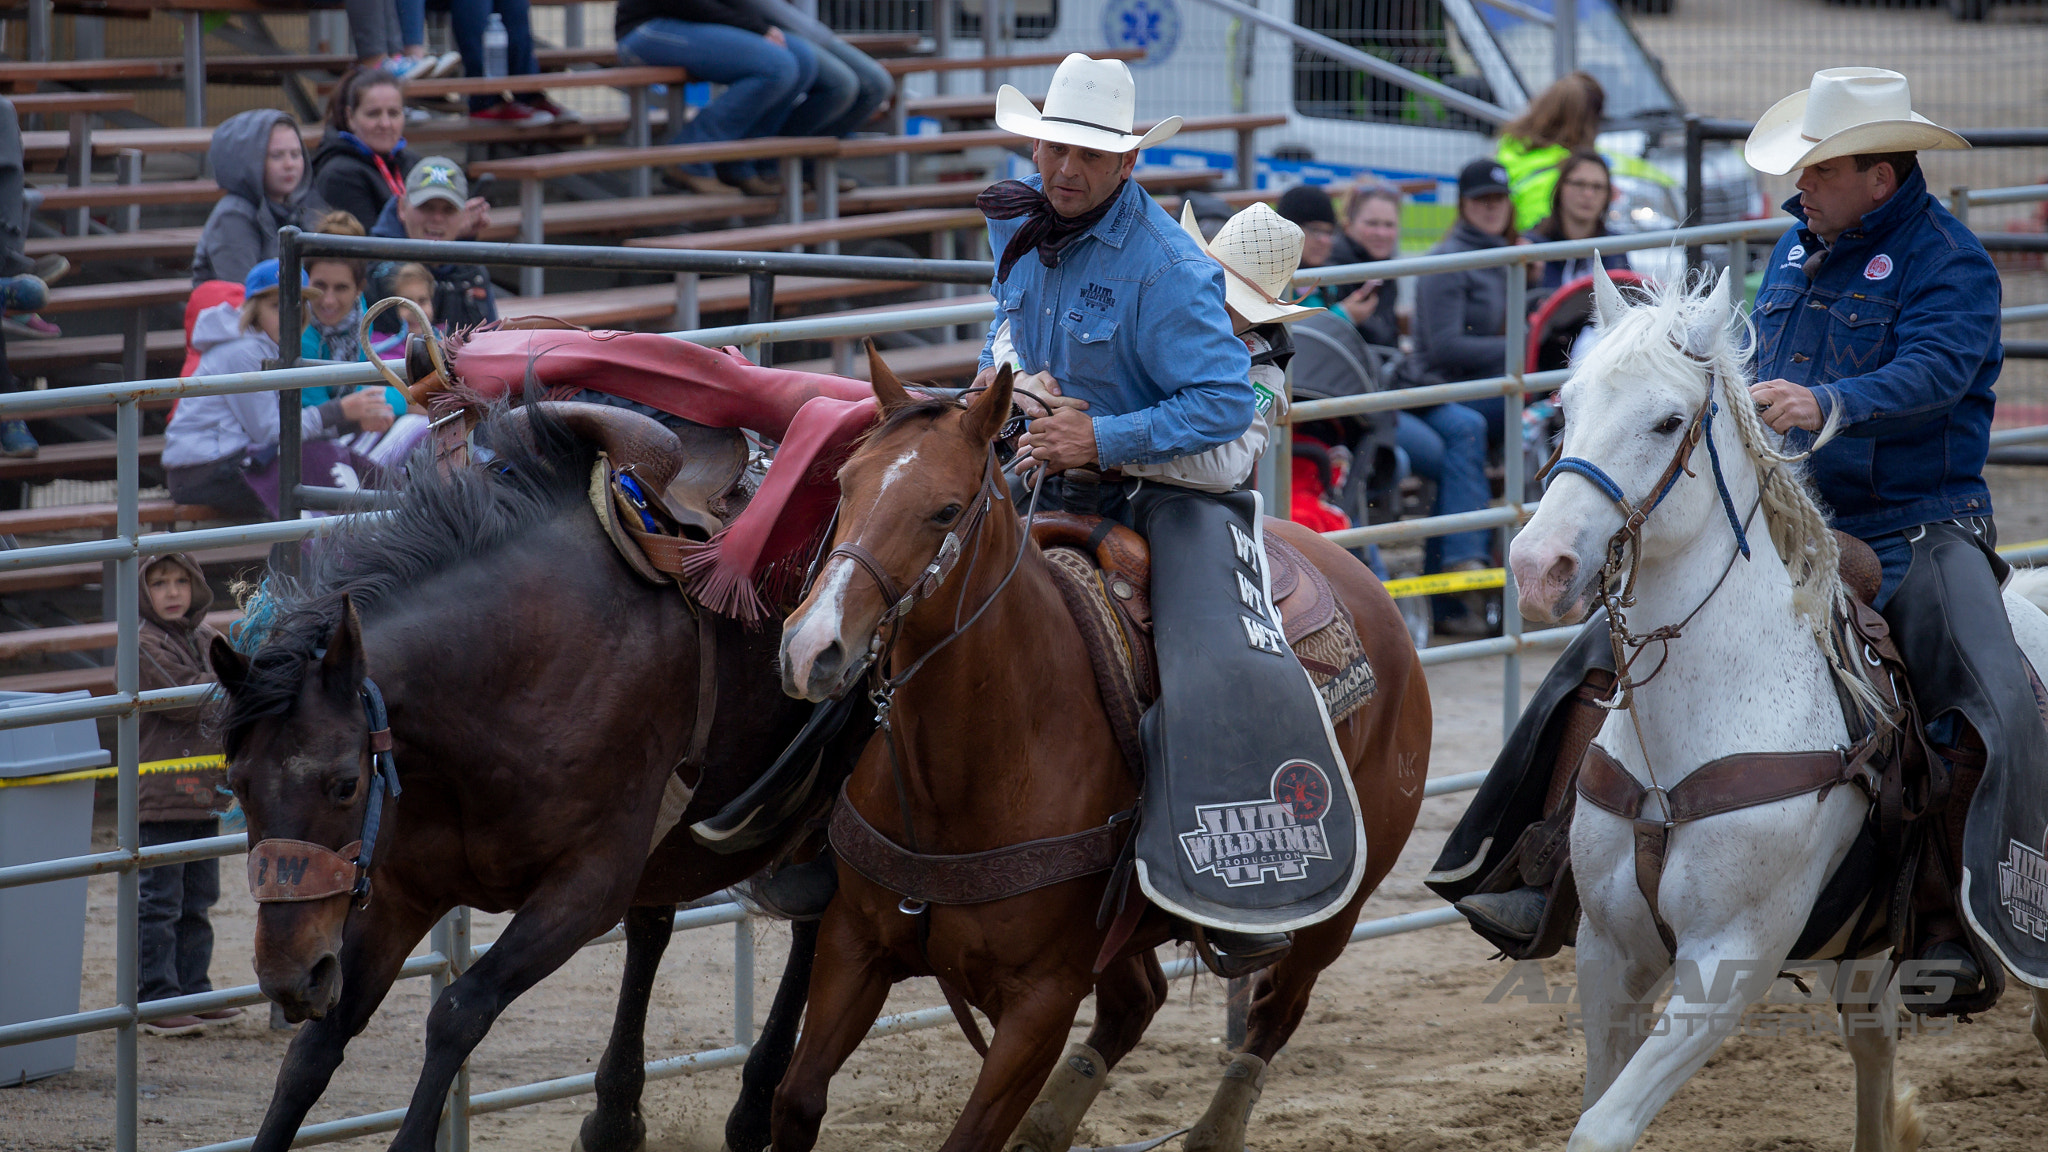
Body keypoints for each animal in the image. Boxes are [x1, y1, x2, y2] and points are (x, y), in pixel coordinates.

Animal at [220, 403, 860, 1147]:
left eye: (345, 784)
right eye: (237, 785)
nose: (287, 976)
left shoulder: (586, 888)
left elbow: (459, 1010)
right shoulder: (404, 894)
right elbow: (316, 1049)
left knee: (814, 920)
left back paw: (754, 1104)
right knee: (666, 927)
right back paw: (617, 1114)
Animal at [774, 360, 1433, 1147]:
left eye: (945, 510)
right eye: (845, 483)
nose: (812, 647)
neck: (975, 763)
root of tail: (1376, 592)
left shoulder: (1041, 1001)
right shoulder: (853, 946)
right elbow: (798, 1098)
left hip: (1335, 909)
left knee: (1274, 1012)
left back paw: (1213, 1128)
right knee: (1136, 1002)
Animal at [1507, 264, 2048, 1147]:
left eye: (1667, 420)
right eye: (1567, 405)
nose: (1536, 565)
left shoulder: (1731, 959)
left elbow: (1603, 1125)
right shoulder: (1607, 954)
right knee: (1873, 1036)